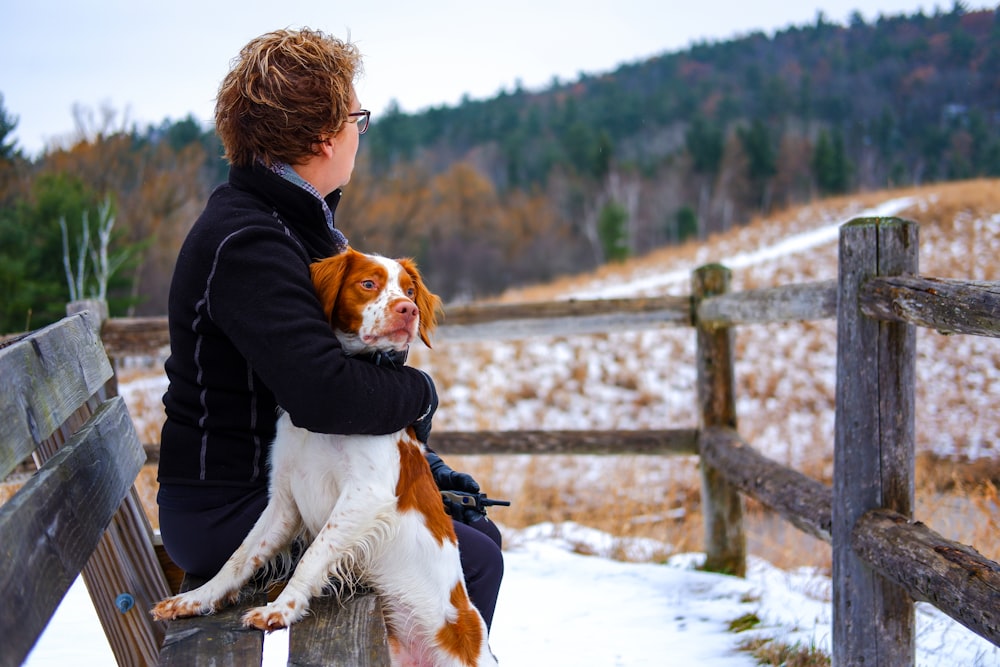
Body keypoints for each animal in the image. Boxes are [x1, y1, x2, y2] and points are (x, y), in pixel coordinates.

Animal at [151, 249, 496, 667]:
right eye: (368, 283)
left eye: (410, 290)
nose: (408, 309)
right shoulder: (284, 501)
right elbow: (241, 555)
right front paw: (196, 599)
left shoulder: (365, 496)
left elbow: (313, 555)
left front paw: (280, 610)